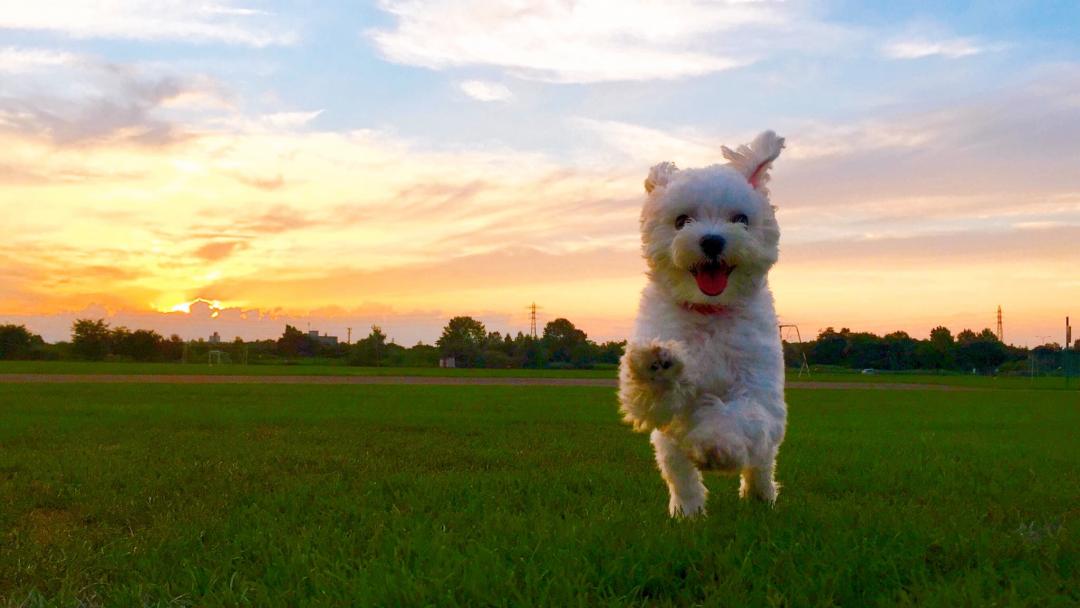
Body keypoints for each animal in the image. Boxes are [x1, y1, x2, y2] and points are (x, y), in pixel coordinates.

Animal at [622, 130, 790, 516]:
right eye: (682, 221)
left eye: (741, 219)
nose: (712, 240)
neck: (709, 312)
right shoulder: (664, 407)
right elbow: (656, 400)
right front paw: (657, 367)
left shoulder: (756, 386)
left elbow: (741, 417)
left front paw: (717, 444)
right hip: (668, 449)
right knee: (680, 474)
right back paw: (688, 511)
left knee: (761, 462)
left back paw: (761, 495)